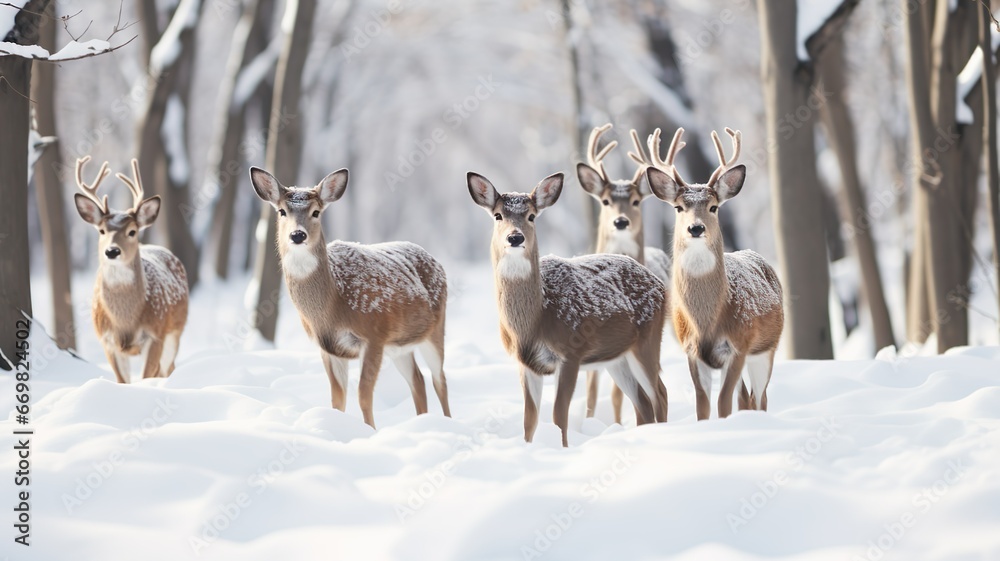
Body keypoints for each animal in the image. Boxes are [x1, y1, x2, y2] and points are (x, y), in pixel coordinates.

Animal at [73, 157, 189, 383]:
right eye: (102, 231)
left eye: (132, 231)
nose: (112, 251)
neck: (125, 324)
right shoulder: (107, 340)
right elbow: (122, 381)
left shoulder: (155, 334)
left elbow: (146, 377)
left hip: (176, 330)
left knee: (168, 368)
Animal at [249, 167, 451, 428]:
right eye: (282, 211)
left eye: (316, 212)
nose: (297, 235)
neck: (334, 306)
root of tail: (434, 259)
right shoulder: (329, 348)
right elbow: (338, 399)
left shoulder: (374, 333)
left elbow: (364, 395)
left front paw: (370, 431)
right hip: (400, 345)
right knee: (418, 379)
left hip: (435, 329)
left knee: (440, 380)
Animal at [467, 170, 667, 447]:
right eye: (498, 215)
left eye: (532, 215)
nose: (515, 237)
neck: (536, 320)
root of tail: (658, 283)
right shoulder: (525, 362)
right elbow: (529, 419)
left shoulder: (571, 352)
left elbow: (558, 414)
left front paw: (562, 448)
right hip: (617, 357)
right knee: (643, 402)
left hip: (648, 339)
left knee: (660, 393)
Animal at [577, 123, 672, 424]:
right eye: (606, 201)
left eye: (636, 200)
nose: (621, 221)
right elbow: (591, 392)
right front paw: (588, 422)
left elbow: (618, 394)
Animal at [643, 127, 783, 420]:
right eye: (678, 207)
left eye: (713, 207)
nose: (696, 228)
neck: (707, 322)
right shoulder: (692, 351)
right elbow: (703, 404)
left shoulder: (739, 345)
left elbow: (723, 402)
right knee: (747, 397)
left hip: (767, 348)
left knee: (761, 398)